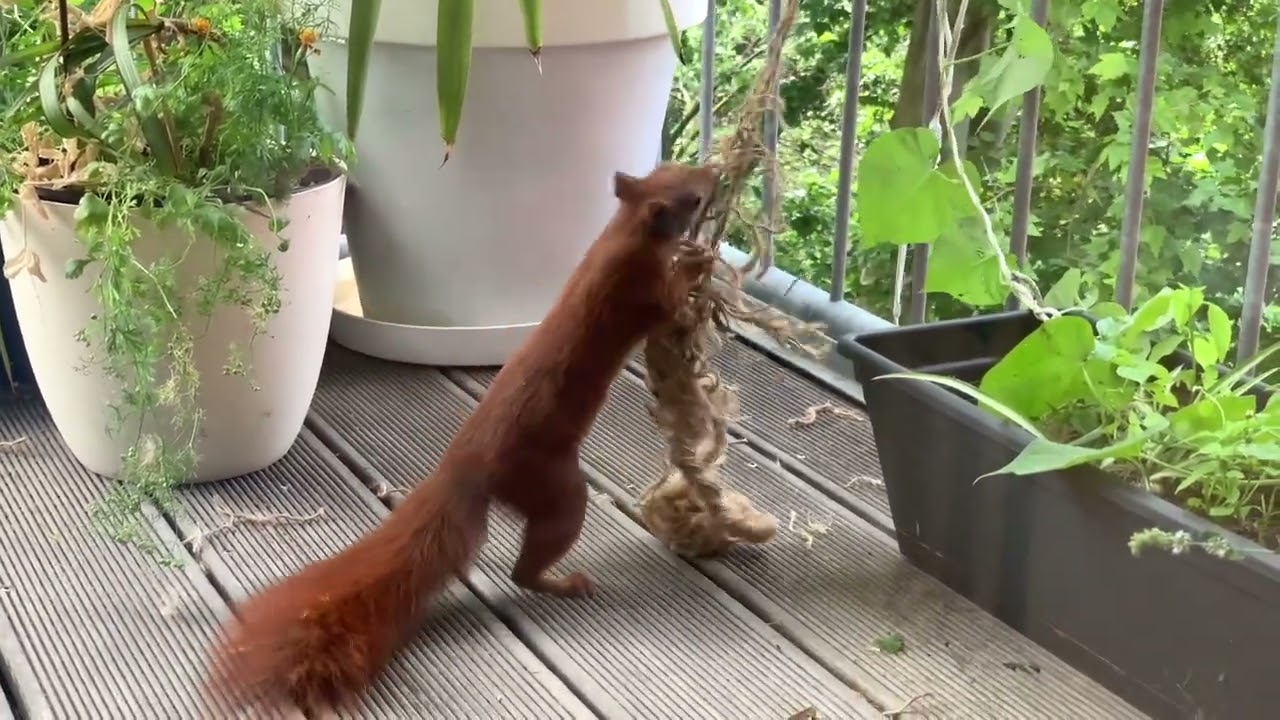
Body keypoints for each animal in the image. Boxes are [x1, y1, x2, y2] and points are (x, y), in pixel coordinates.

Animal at [202, 162, 722, 716]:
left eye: (676, 170)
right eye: (691, 197)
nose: (713, 174)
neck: (623, 237)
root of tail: (464, 468)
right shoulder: (642, 291)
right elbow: (672, 303)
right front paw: (697, 263)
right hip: (558, 490)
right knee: (528, 566)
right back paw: (565, 583)